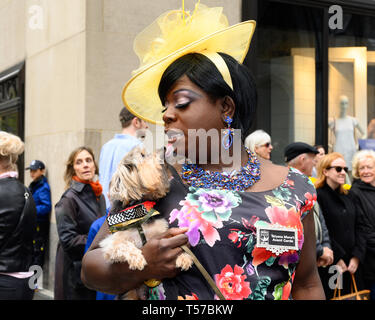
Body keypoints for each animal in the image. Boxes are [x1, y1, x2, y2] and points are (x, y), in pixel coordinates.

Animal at [100, 146, 194, 298]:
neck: (139, 210)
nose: (164, 147)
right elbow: (124, 245)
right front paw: (137, 258)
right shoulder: (110, 245)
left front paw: (183, 256)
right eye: (143, 155)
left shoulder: (160, 233)